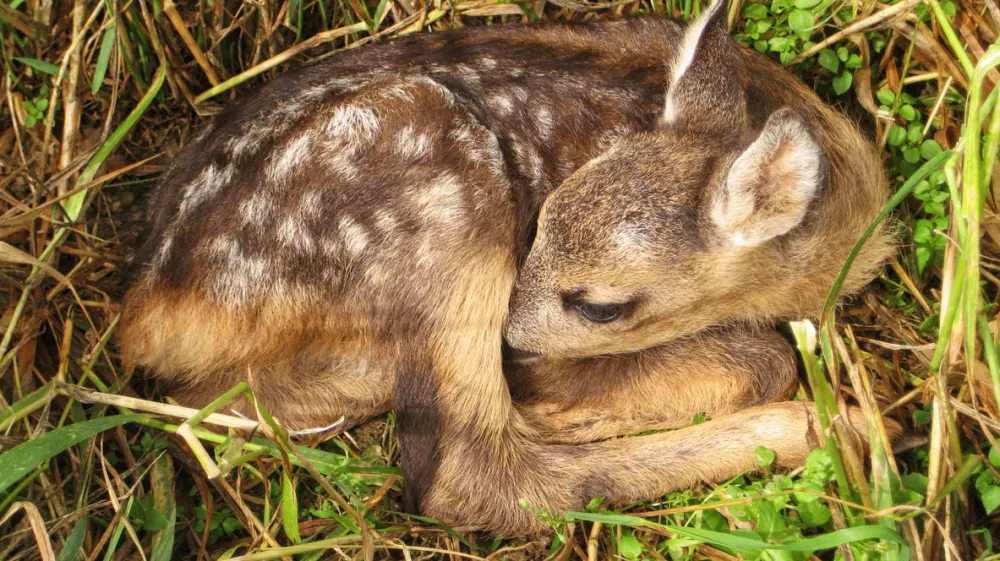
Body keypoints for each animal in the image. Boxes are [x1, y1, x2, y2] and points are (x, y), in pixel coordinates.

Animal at [119, 0, 899, 534]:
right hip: (436, 180)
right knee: (471, 476)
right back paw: (829, 430)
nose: (514, 339)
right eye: (540, 221)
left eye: (600, 304)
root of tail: (150, 312)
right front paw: (566, 400)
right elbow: (764, 357)